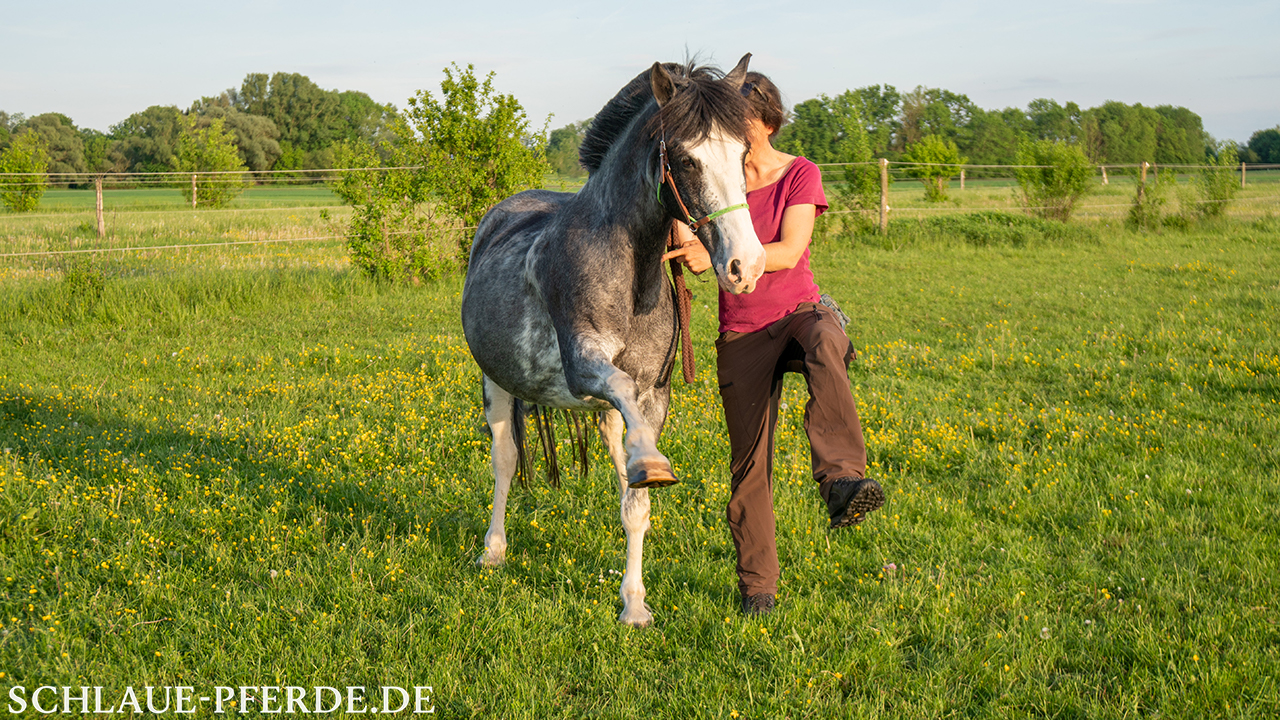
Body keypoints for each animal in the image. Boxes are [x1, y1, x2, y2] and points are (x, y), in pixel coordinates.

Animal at [460, 55, 765, 627]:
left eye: (742, 154)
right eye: (686, 159)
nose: (746, 266)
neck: (627, 274)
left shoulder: (651, 395)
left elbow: (635, 503)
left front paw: (635, 604)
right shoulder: (585, 365)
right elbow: (624, 426)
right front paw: (652, 464)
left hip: (596, 414)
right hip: (497, 384)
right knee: (505, 460)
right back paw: (492, 552)